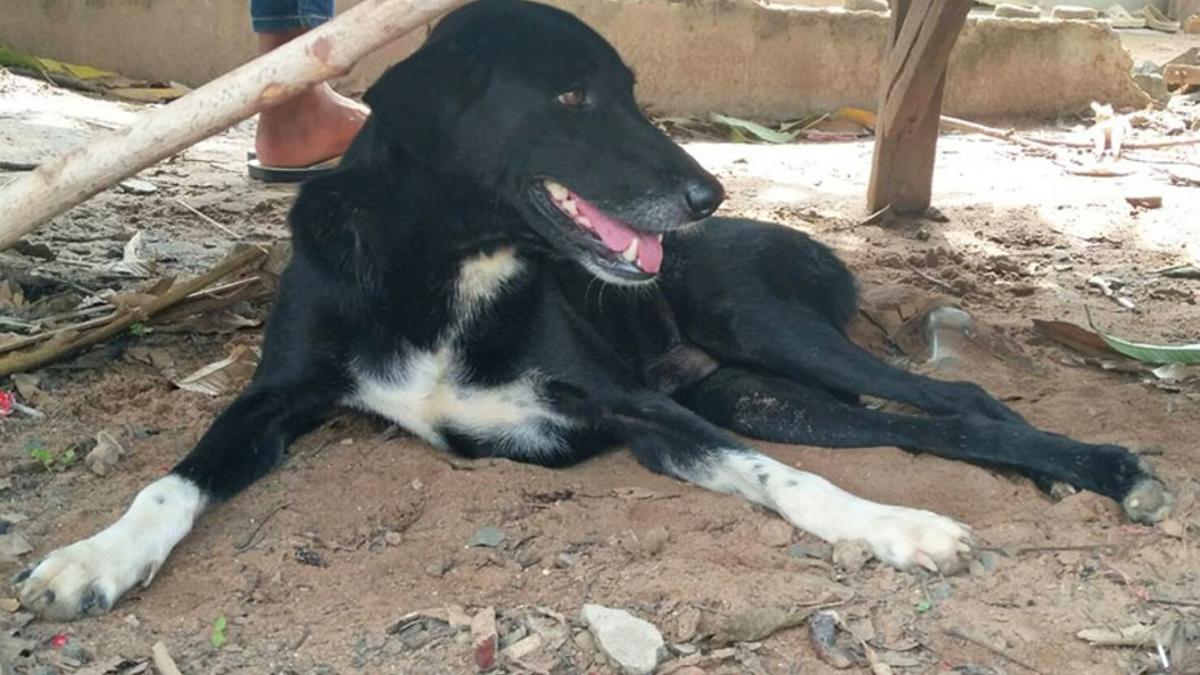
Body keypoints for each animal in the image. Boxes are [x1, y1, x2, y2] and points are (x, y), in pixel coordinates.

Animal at [14, 0, 1171, 619]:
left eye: (633, 88)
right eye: (572, 96)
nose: (709, 192)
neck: (450, 260)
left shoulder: (636, 410)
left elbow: (782, 481)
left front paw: (899, 527)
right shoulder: (273, 398)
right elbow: (170, 481)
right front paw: (92, 559)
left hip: (759, 329)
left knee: (959, 398)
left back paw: (1108, 470)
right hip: (757, 388)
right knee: (920, 423)